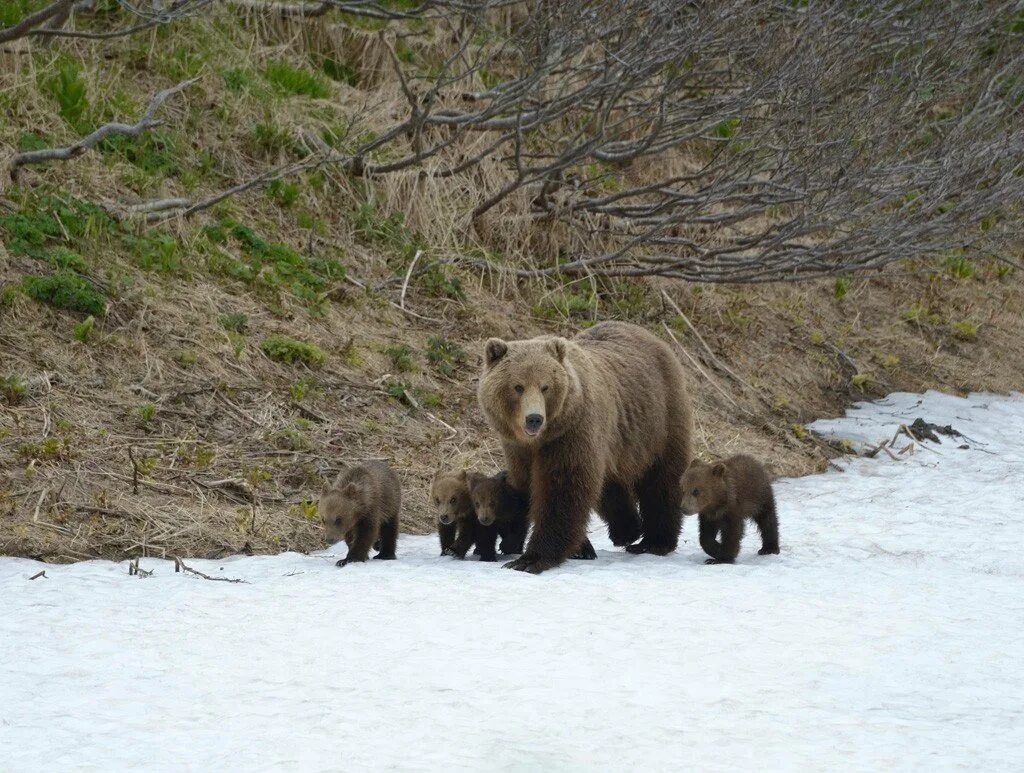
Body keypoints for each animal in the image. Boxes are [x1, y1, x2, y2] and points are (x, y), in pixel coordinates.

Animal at [475, 321, 692, 573]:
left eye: (545, 387)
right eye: (518, 387)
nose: (534, 419)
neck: (540, 439)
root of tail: (649, 335)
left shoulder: (570, 434)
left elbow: (562, 488)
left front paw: (531, 559)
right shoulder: (518, 448)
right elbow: (524, 485)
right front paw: (579, 548)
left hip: (659, 419)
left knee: (662, 477)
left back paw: (654, 541)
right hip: (617, 437)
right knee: (609, 482)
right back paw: (626, 531)